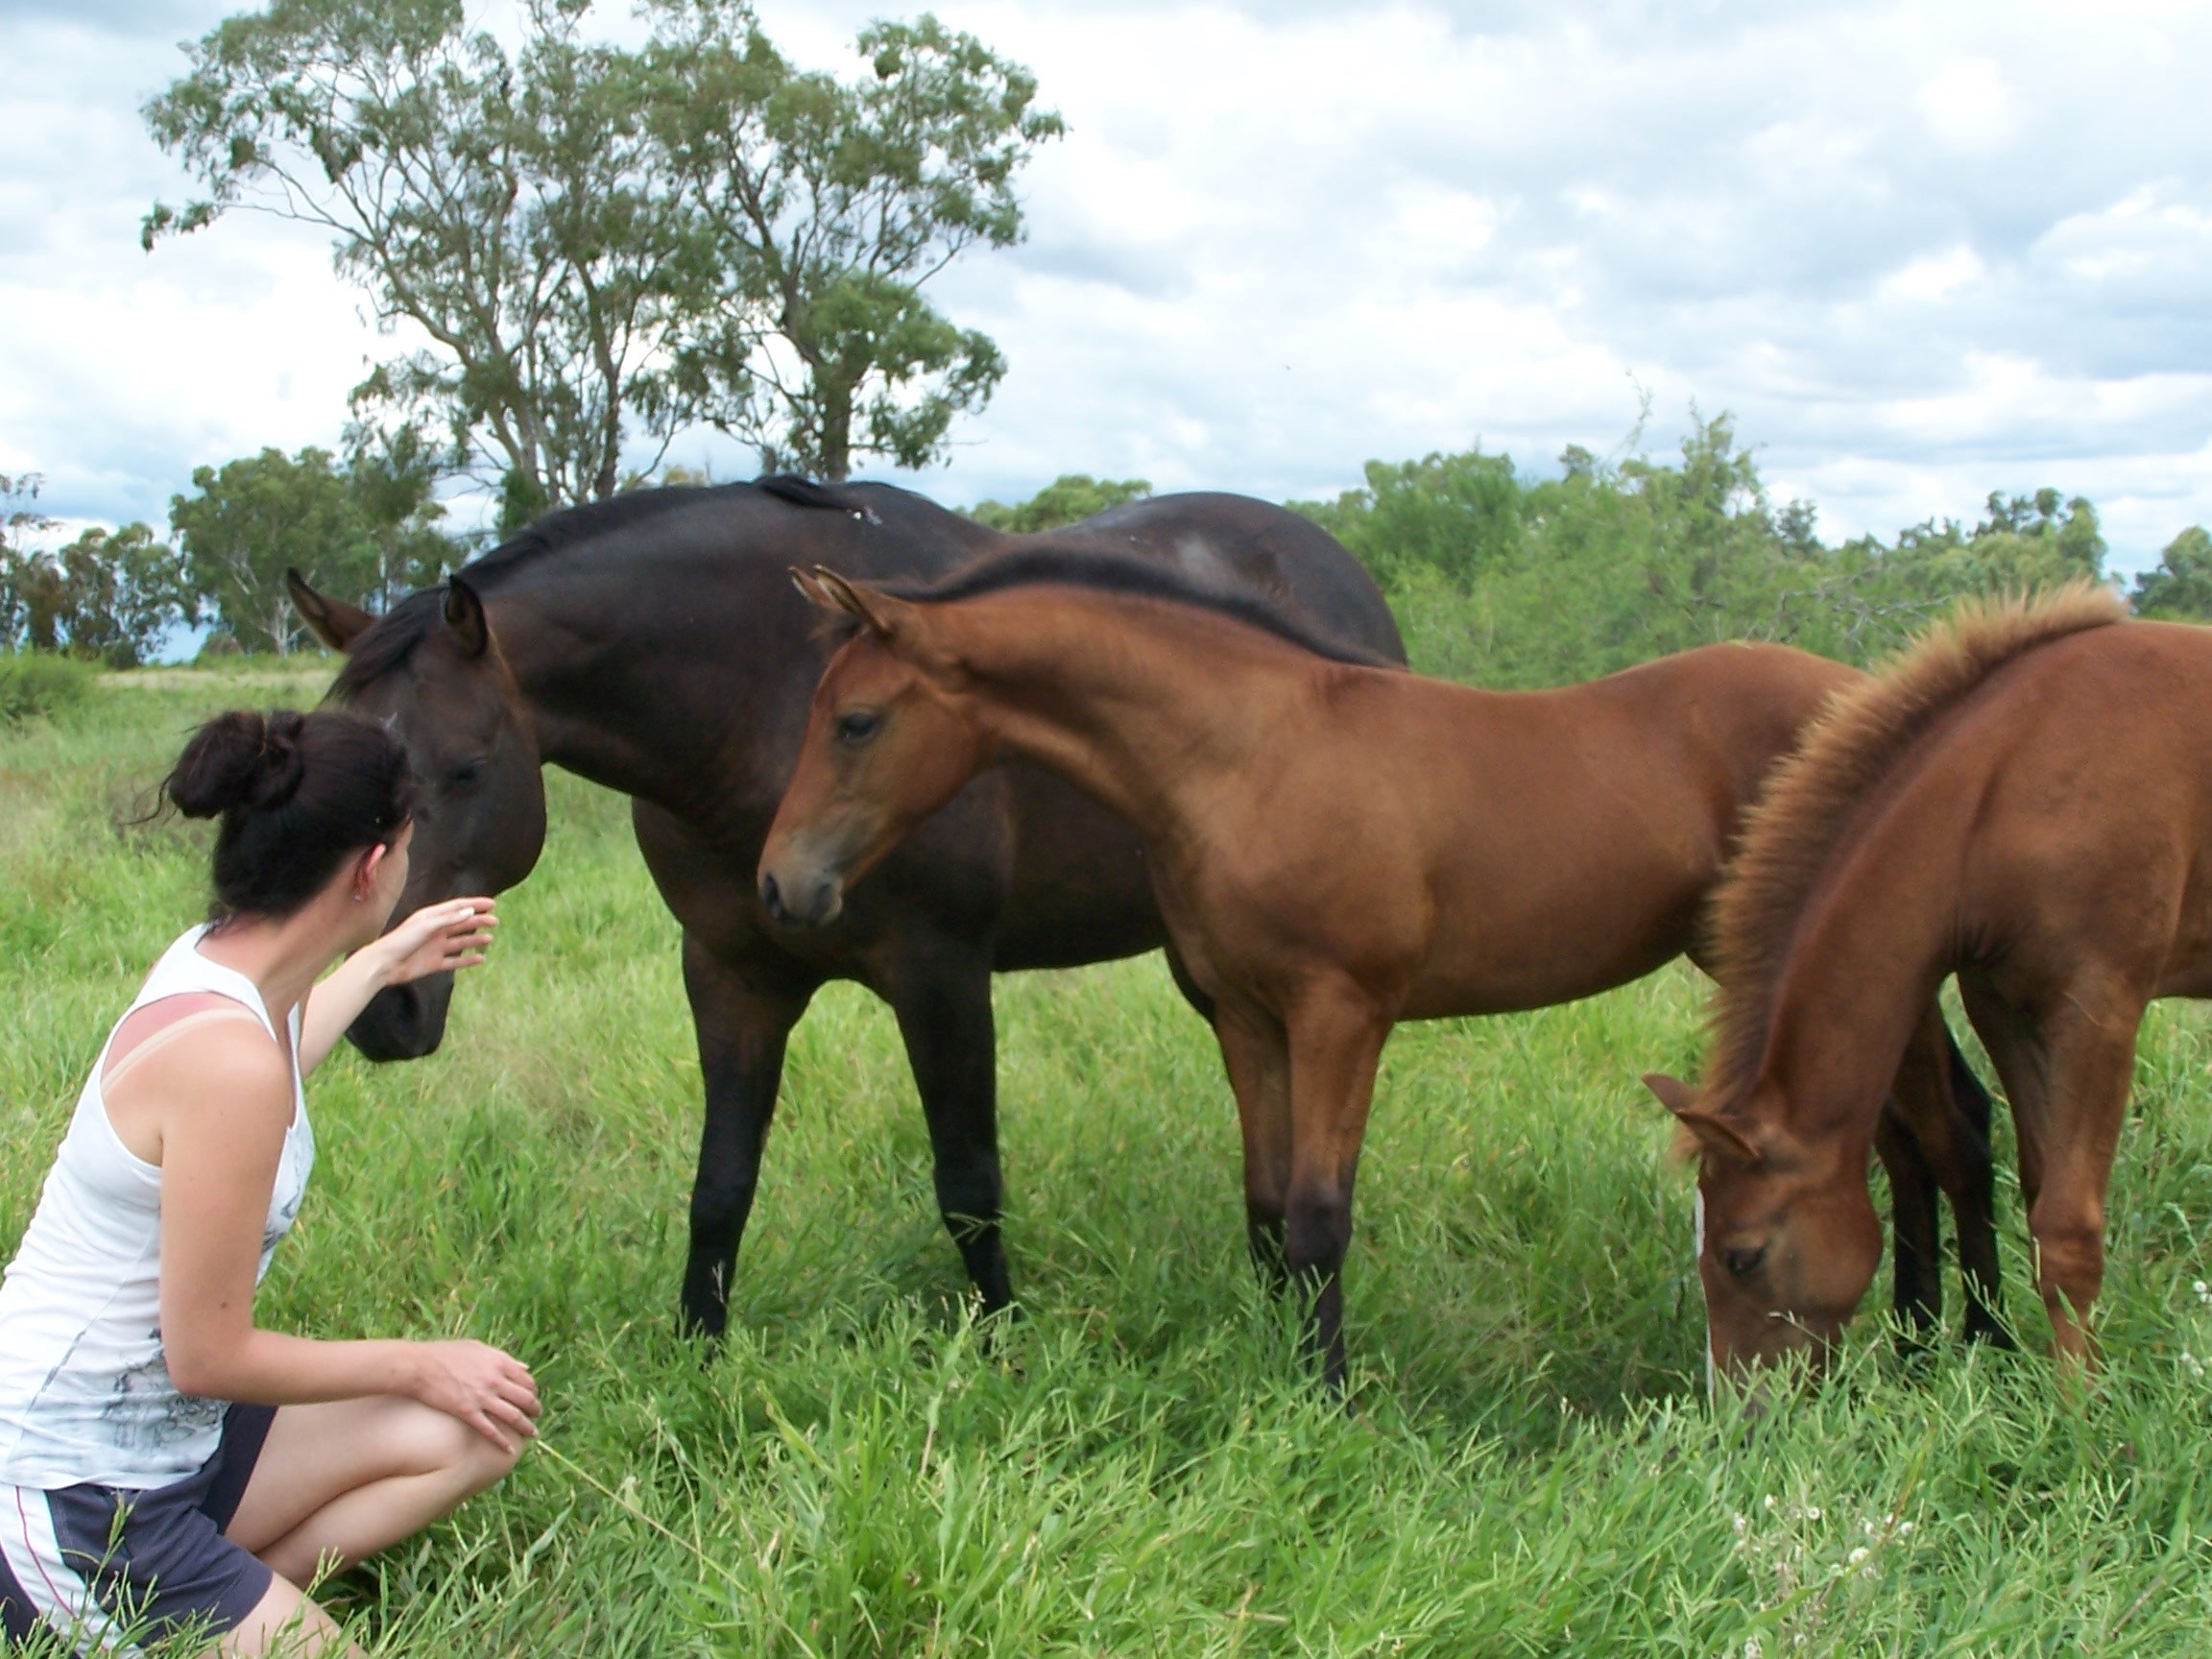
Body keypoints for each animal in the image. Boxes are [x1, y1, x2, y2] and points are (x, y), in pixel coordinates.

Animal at [287, 476, 1407, 1336]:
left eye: (469, 769)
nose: (384, 1010)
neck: (766, 692)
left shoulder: (942, 973)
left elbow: (969, 1187)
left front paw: (1004, 1345)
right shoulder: (729, 974)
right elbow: (720, 1188)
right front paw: (698, 1355)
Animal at [756, 550, 2008, 1387]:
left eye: (857, 720)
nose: (779, 887)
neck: (1247, 758)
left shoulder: (1342, 1012)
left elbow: (1320, 1215)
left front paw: (1330, 1398)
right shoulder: (1245, 1017)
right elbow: (1266, 1212)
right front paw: (1275, 1377)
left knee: (1948, 1128)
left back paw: (1974, 1348)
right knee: (1903, 1143)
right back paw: (1908, 1344)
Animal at [1644, 583, 2212, 1383]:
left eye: (1741, 1255)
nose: (1738, 1403)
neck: (2012, 782)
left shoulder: (2100, 1007)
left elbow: (2070, 1226)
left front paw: (2075, 1402)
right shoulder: (2000, 1000)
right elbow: (2039, 1183)